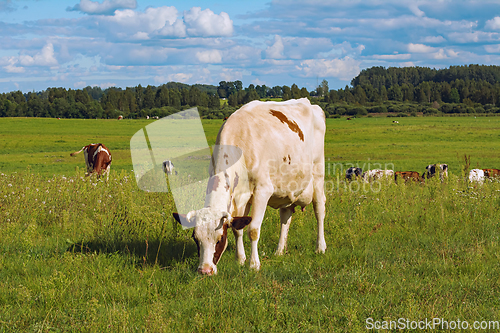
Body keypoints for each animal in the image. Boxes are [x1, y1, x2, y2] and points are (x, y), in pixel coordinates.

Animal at [174, 97, 326, 274]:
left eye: (220, 239)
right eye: (196, 239)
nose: (205, 271)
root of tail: (308, 102)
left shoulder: (262, 190)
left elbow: (253, 229)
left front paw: (254, 264)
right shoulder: (240, 195)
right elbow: (237, 228)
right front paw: (240, 260)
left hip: (318, 173)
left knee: (319, 209)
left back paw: (320, 247)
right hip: (286, 187)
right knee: (286, 216)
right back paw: (280, 251)